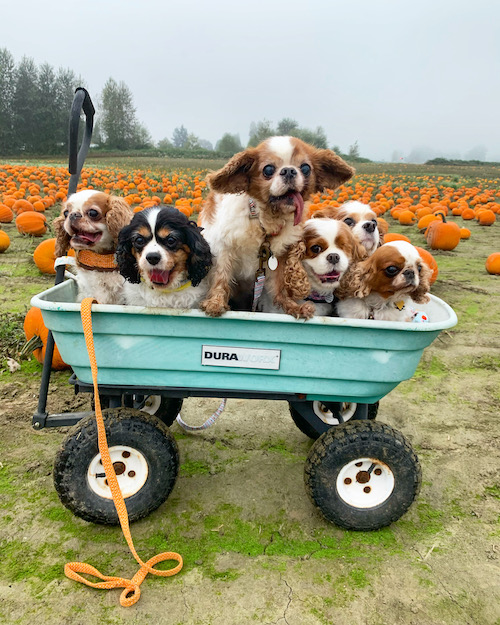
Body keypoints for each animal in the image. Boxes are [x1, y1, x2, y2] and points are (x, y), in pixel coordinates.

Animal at [197, 138, 354, 320]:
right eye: (268, 169)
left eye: (305, 168)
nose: (289, 171)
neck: (264, 222)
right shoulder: (224, 248)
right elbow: (221, 277)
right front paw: (215, 303)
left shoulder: (279, 257)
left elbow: (279, 287)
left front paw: (291, 307)